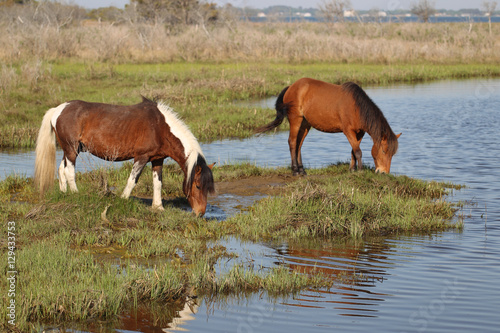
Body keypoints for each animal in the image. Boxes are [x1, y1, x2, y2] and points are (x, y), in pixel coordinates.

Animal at [34, 96, 215, 215]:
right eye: (198, 186)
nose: (200, 213)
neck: (160, 127)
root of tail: (58, 109)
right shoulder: (141, 157)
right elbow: (132, 180)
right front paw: (123, 199)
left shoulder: (157, 159)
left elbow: (158, 183)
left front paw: (158, 207)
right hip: (71, 150)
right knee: (69, 171)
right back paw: (75, 193)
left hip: (71, 150)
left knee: (61, 169)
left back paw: (64, 193)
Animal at [258, 78, 402, 175]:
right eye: (384, 151)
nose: (384, 172)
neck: (357, 107)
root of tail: (291, 87)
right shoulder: (348, 131)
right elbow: (358, 152)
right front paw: (360, 171)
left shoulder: (359, 132)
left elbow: (353, 151)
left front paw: (352, 169)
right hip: (296, 120)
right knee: (293, 142)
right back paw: (295, 171)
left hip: (305, 124)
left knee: (299, 144)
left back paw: (302, 170)